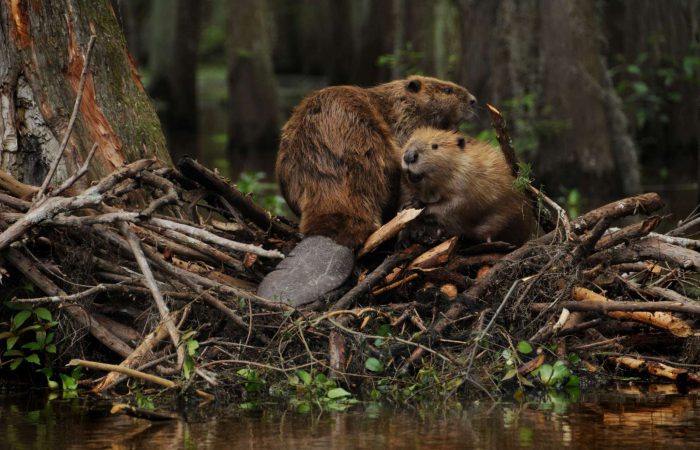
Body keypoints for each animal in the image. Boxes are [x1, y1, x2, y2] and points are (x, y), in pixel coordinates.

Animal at [402, 126, 532, 246]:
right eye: (408, 141)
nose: (409, 156)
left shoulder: (467, 182)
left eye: (435, 145)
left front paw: (417, 206)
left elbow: (457, 204)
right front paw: (410, 205)